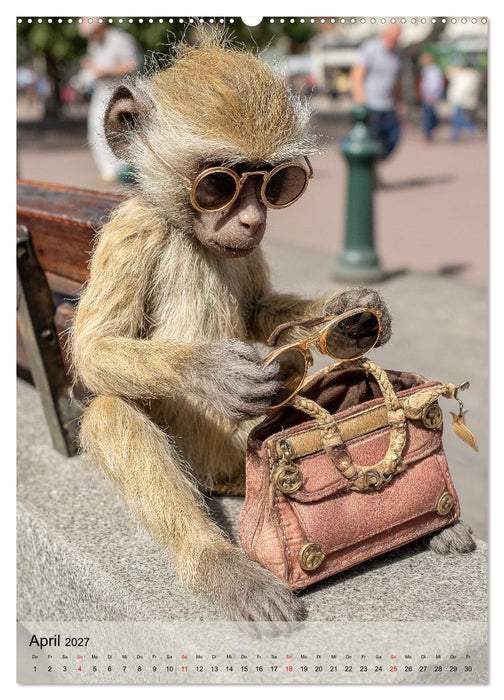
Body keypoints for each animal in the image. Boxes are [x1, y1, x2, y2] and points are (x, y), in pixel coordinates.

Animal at [70, 34, 474, 622]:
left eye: (276, 184)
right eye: (218, 184)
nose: (252, 219)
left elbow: (261, 309)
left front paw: (349, 315)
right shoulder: (135, 230)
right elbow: (92, 351)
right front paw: (213, 370)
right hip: (216, 460)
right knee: (108, 409)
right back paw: (219, 563)